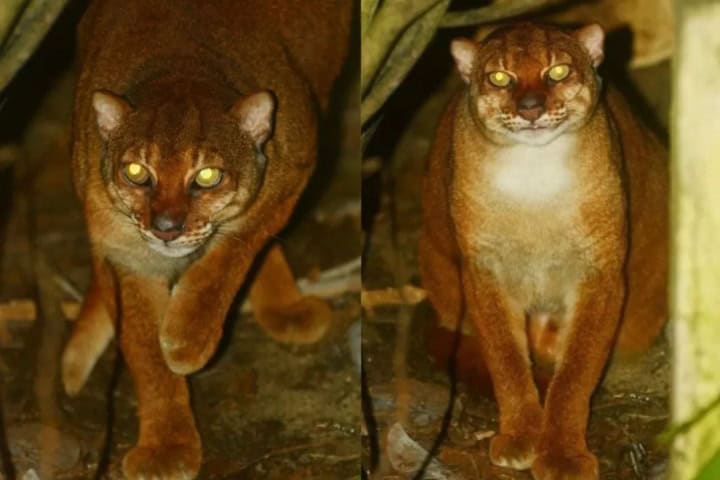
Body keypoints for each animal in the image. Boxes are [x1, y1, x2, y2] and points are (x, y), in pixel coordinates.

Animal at [59, 1, 352, 478]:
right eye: (136, 172)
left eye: (207, 177)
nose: (166, 227)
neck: (182, 62)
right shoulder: (126, 252)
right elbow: (146, 350)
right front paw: (166, 446)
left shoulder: (294, 167)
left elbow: (236, 245)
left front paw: (187, 338)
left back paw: (285, 307)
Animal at [420, 23, 668, 480]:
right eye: (500, 78)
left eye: (558, 71)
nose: (531, 108)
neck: (533, 178)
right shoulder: (483, 269)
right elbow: (505, 359)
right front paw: (521, 434)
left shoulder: (600, 269)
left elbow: (576, 371)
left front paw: (562, 455)